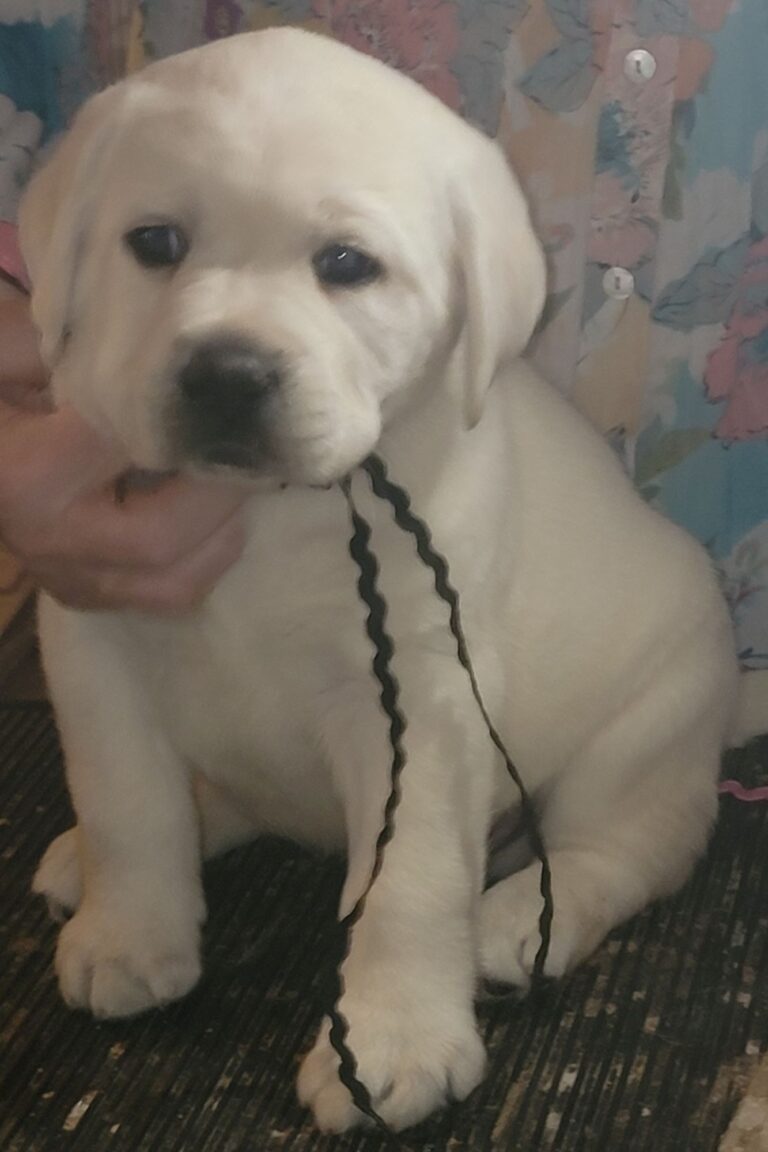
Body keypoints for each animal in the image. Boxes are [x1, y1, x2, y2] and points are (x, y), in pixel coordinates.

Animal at [22, 27, 750, 1133]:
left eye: (346, 266)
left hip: (647, 729)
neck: (272, 513)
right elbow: (126, 803)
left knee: (625, 849)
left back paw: (518, 924)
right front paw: (129, 935)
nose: (227, 373)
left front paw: (393, 1040)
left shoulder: (421, 689)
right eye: (154, 243)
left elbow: (411, 880)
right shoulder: (92, 640)